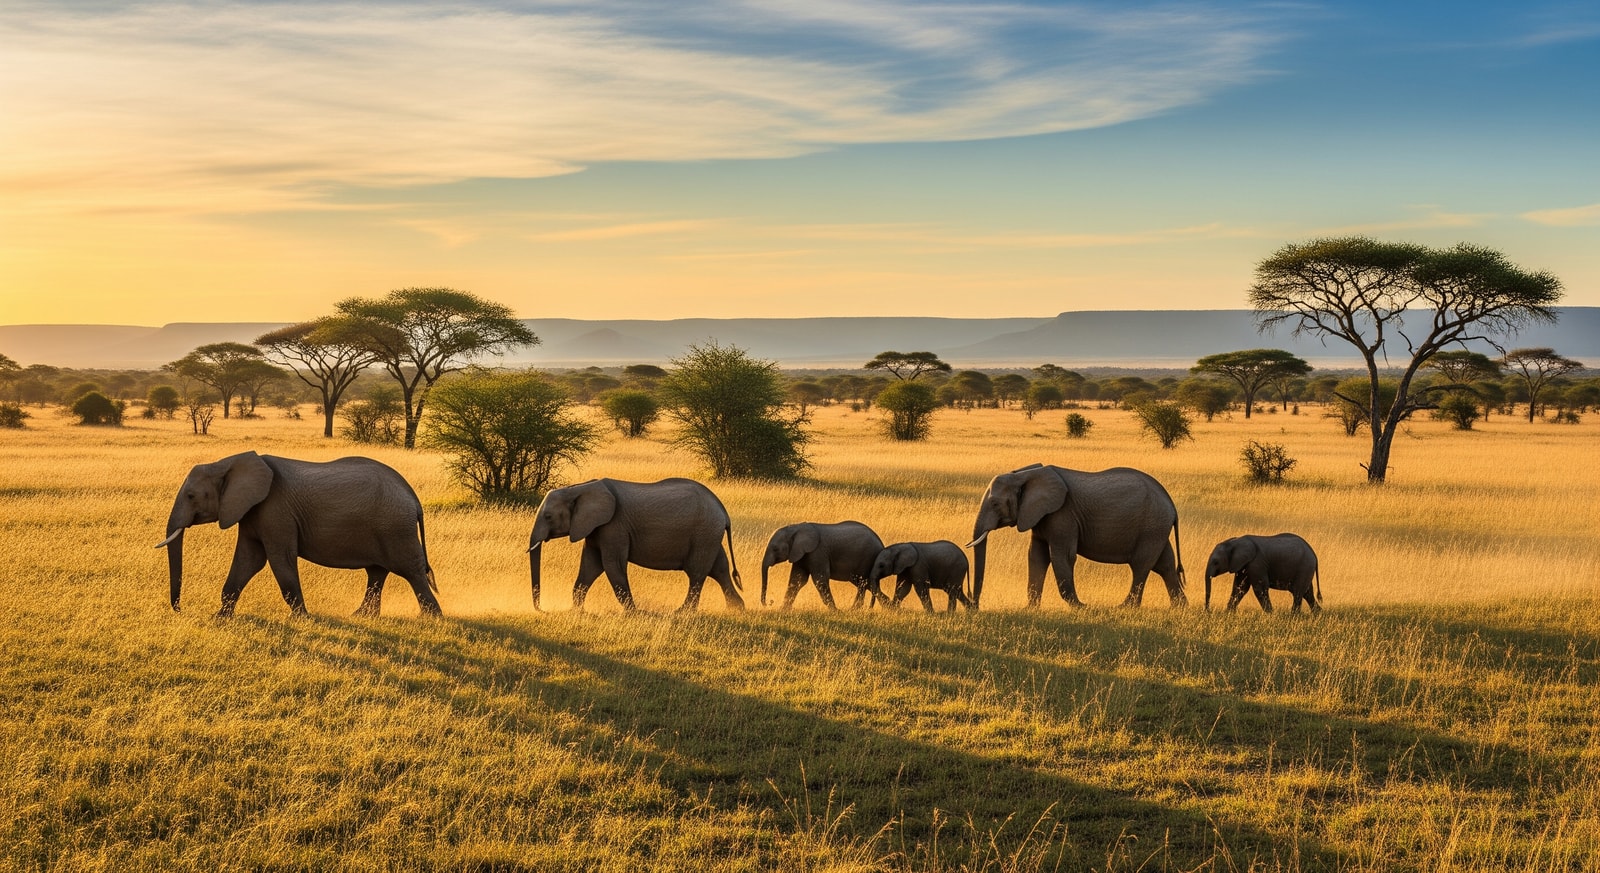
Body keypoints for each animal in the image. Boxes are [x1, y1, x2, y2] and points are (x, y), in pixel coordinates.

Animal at [155, 451, 440, 618]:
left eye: (191, 496)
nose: (180, 609)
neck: (226, 463)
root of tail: (413, 498)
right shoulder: (251, 511)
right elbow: (248, 560)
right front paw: (220, 618)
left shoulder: (275, 510)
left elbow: (280, 559)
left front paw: (302, 619)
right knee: (377, 572)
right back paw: (361, 616)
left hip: (395, 527)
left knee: (410, 571)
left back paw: (431, 619)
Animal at [527, 477, 743, 612]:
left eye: (548, 517)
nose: (542, 609)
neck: (579, 488)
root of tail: (723, 511)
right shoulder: (595, 528)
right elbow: (590, 565)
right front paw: (576, 611)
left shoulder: (614, 526)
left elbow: (612, 565)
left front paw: (633, 612)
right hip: (709, 535)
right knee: (719, 569)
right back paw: (736, 609)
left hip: (704, 534)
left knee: (697, 573)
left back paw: (682, 612)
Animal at [968, 463, 1186, 609]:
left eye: (995, 504)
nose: (975, 605)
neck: (1025, 474)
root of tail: (1172, 504)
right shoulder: (1039, 516)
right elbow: (1036, 556)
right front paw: (1030, 609)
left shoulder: (1062, 515)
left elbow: (1062, 556)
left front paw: (1080, 607)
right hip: (1156, 528)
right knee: (1165, 565)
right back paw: (1180, 608)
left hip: (1152, 526)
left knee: (1141, 565)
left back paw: (1125, 608)